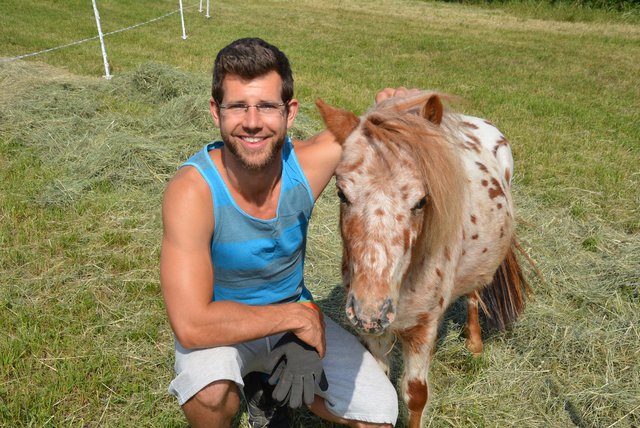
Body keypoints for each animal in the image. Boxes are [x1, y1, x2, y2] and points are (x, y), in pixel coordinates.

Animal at [316, 92, 528, 426]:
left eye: (421, 201)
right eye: (341, 194)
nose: (370, 311)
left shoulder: (423, 327)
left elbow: (415, 395)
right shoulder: (375, 333)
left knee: (473, 294)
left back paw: (474, 342)